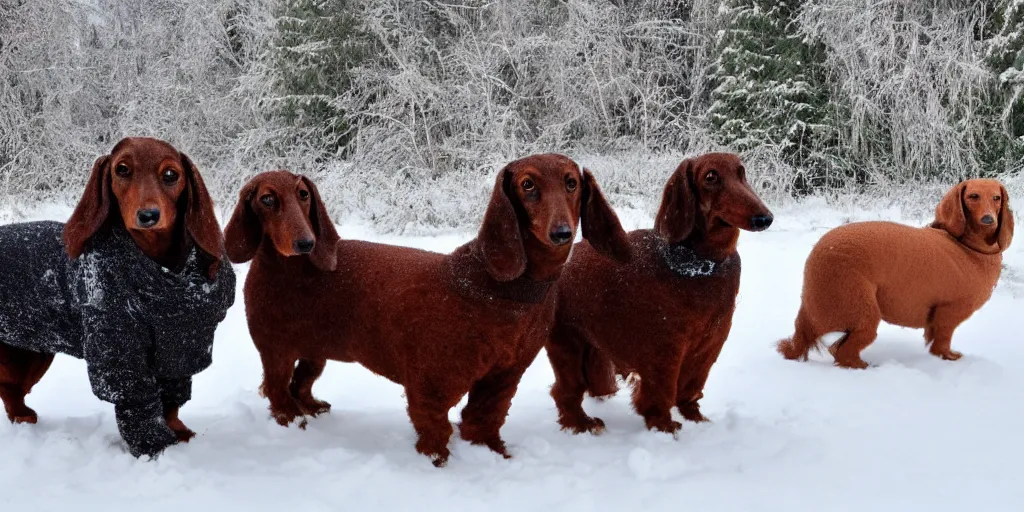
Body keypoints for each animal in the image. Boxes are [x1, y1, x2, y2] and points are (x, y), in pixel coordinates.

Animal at [0, 138, 233, 458]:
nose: (148, 216)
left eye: (171, 175)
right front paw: (156, 448)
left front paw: (178, 432)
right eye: (121, 169)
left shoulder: (180, 346)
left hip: (30, 352)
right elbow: (138, 402)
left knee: (11, 390)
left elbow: (170, 401)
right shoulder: (119, 348)